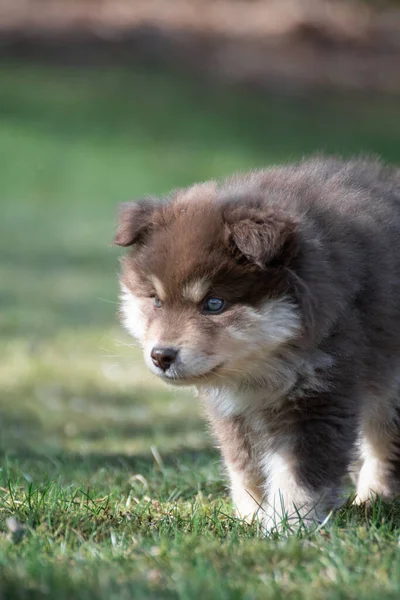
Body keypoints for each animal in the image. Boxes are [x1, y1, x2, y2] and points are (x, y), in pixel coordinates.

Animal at [113, 158, 400, 528]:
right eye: (157, 301)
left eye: (214, 304)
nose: (161, 355)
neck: (263, 368)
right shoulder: (233, 411)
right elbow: (246, 468)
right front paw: (250, 517)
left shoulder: (321, 397)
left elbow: (298, 475)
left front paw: (287, 527)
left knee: (384, 440)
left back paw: (376, 497)